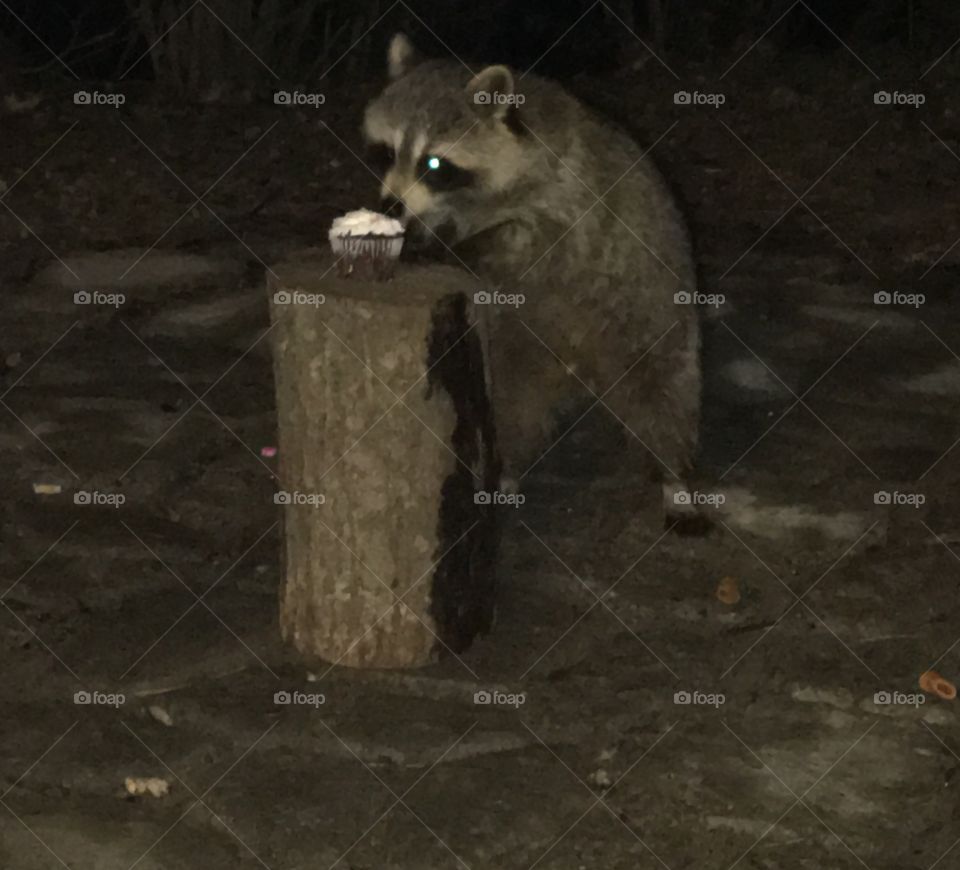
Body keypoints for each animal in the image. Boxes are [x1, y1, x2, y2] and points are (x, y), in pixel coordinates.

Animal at [364, 34, 700, 528]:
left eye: (435, 164)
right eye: (388, 152)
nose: (390, 206)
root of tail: (579, 364)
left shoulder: (569, 201)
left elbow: (525, 244)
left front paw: (442, 245)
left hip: (644, 303)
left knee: (662, 387)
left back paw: (673, 473)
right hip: (518, 346)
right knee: (511, 406)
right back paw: (506, 470)